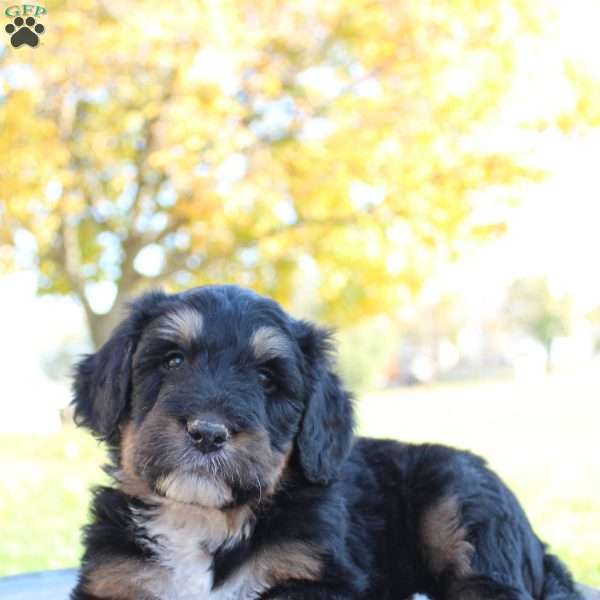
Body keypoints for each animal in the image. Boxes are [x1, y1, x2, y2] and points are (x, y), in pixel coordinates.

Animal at [70, 284, 580, 600]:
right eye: (173, 360)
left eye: (266, 378)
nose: (208, 432)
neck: (202, 519)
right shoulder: (114, 578)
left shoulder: (320, 578)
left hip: (461, 498)